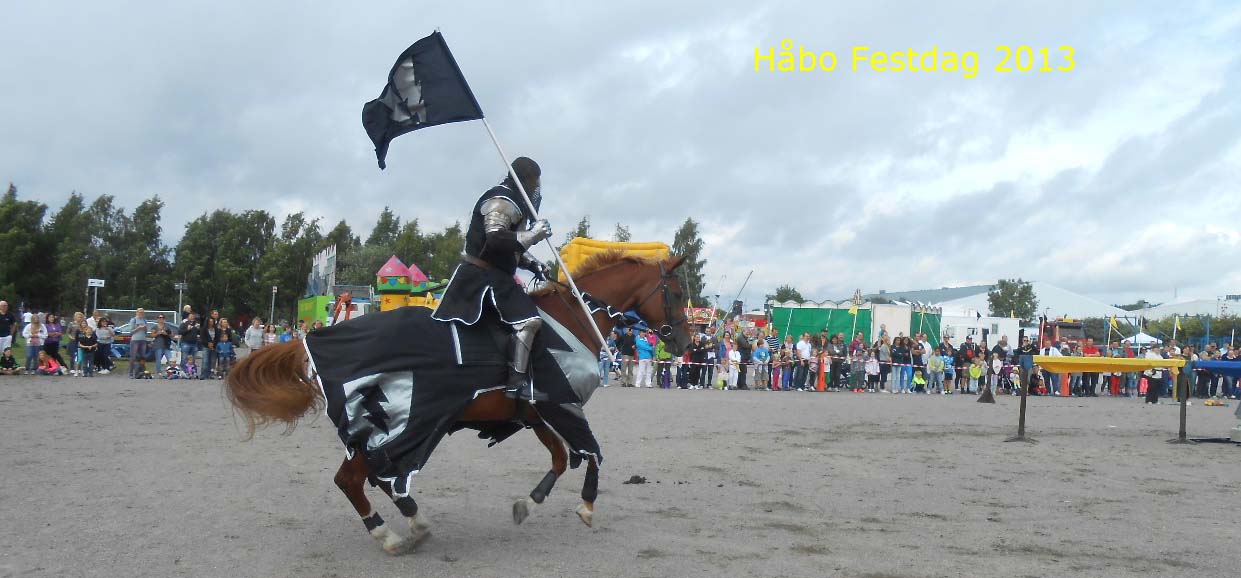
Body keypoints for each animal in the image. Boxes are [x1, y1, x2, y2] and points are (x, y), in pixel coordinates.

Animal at [224, 252, 692, 555]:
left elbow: (561, 460)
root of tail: (316, 338)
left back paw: (404, 525)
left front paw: (528, 504)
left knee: (364, 478)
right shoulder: (561, 405)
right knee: (364, 478)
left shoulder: (535, 414)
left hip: (379, 432)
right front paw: (587, 506)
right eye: (673, 293)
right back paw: (399, 530)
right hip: (401, 426)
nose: (685, 343)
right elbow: (591, 453)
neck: (570, 320)